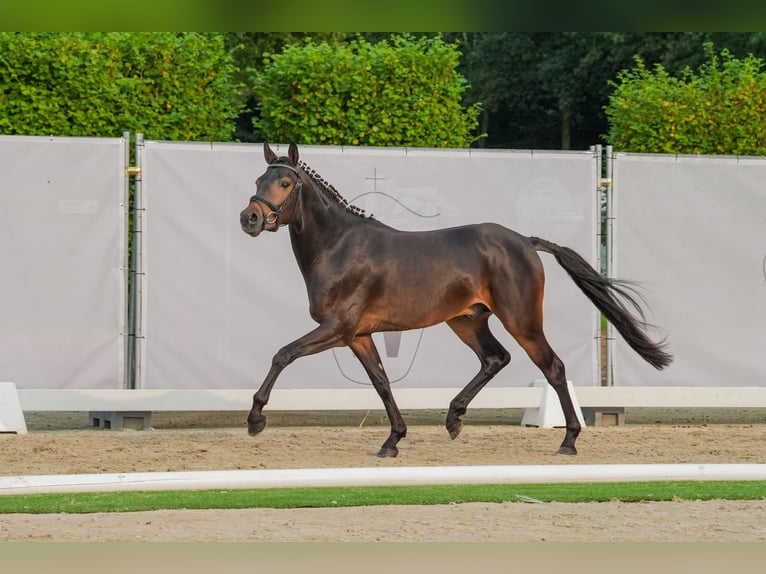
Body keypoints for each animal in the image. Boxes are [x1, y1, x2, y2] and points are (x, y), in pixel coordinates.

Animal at [240, 144, 672, 460]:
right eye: (260, 178)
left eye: (284, 182)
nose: (250, 218)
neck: (339, 246)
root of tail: (525, 241)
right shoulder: (358, 335)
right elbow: (381, 382)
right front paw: (393, 440)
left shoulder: (336, 328)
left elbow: (282, 354)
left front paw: (256, 419)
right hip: (467, 320)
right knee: (495, 358)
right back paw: (454, 418)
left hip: (521, 320)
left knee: (553, 367)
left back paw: (568, 440)